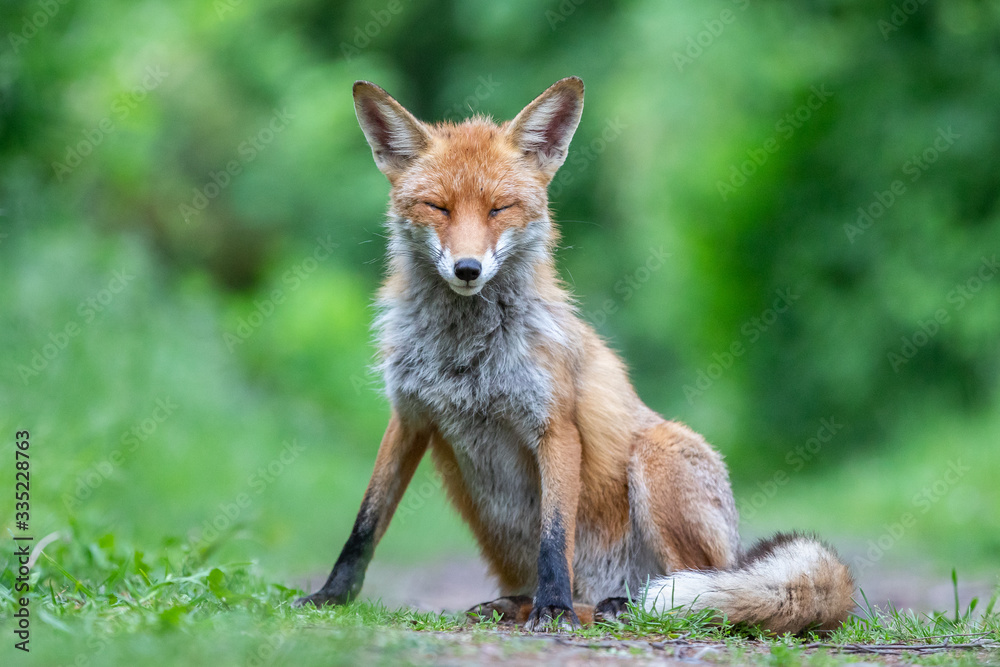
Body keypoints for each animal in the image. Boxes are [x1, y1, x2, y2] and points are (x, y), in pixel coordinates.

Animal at [292, 75, 856, 636]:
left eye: (499, 209)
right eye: (438, 207)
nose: (468, 269)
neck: (465, 355)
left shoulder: (555, 425)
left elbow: (553, 536)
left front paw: (554, 609)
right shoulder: (408, 417)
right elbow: (365, 525)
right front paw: (331, 596)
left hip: (660, 460)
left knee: (690, 597)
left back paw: (601, 607)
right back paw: (525, 604)